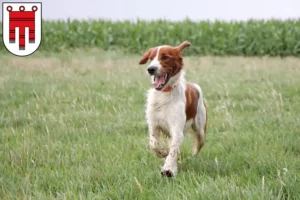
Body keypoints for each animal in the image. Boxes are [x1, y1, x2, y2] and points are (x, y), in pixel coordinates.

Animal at [139, 41, 207, 177]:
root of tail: (194, 85)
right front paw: (163, 153)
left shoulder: (177, 129)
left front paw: (168, 169)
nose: (151, 69)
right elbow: (153, 143)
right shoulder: (154, 124)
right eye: (151, 58)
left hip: (200, 128)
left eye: (165, 57)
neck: (164, 93)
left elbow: (174, 150)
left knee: (198, 144)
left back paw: (192, 157)